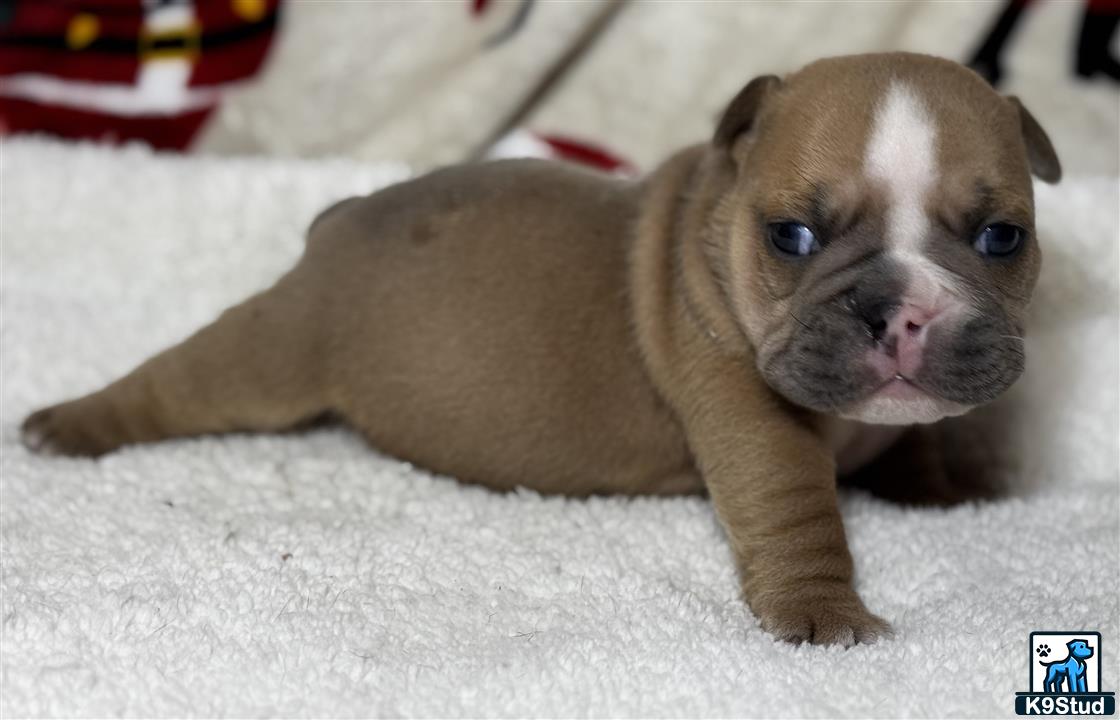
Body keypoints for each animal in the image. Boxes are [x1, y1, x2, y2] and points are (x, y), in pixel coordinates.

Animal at [21, 52, 1061, 649]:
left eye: (1003, 237)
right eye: (792, 237)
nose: (905, 311)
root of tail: (340, 220)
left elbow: (926, 439)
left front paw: (951, 494)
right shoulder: (746, 406)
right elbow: (795, 507)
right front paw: (825, 616)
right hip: (274, 348)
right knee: (178, 383)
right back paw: (68, 426)